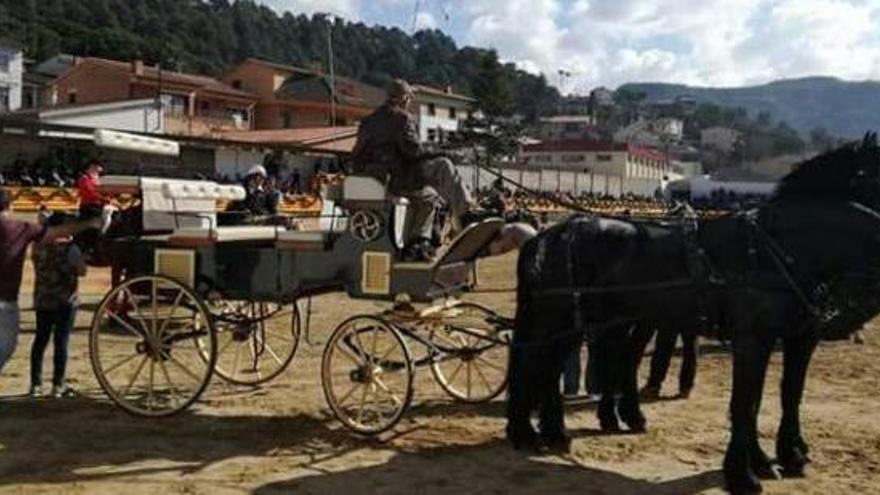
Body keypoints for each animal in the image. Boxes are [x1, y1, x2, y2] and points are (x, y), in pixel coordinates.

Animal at [506, 134, 880, 494]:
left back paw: (556, 431)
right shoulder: (753, 339)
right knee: (535, 363)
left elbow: (789, 395)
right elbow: (747, 403)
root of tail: (549, 234)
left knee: (559, 365)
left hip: (587, 320)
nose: (849, 318)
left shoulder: (800, 337)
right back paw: (529, 432)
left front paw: (787, 456)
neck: (776, 249)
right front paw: (744, 473)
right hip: (561, 317)